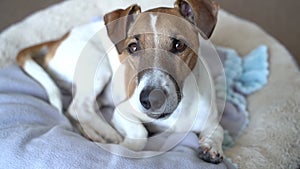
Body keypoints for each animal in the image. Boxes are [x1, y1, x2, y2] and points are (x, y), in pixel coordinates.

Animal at [16, 0, 223, 164]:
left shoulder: (210, 119)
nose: (151, 100)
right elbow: (140, 133)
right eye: (133, 47)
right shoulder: (123, 112)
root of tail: (59, 39)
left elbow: (217, 131)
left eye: (179, 45)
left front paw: (211, 147)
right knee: (79, 107)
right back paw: (108, 134)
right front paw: (127, 145)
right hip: (97, 67)